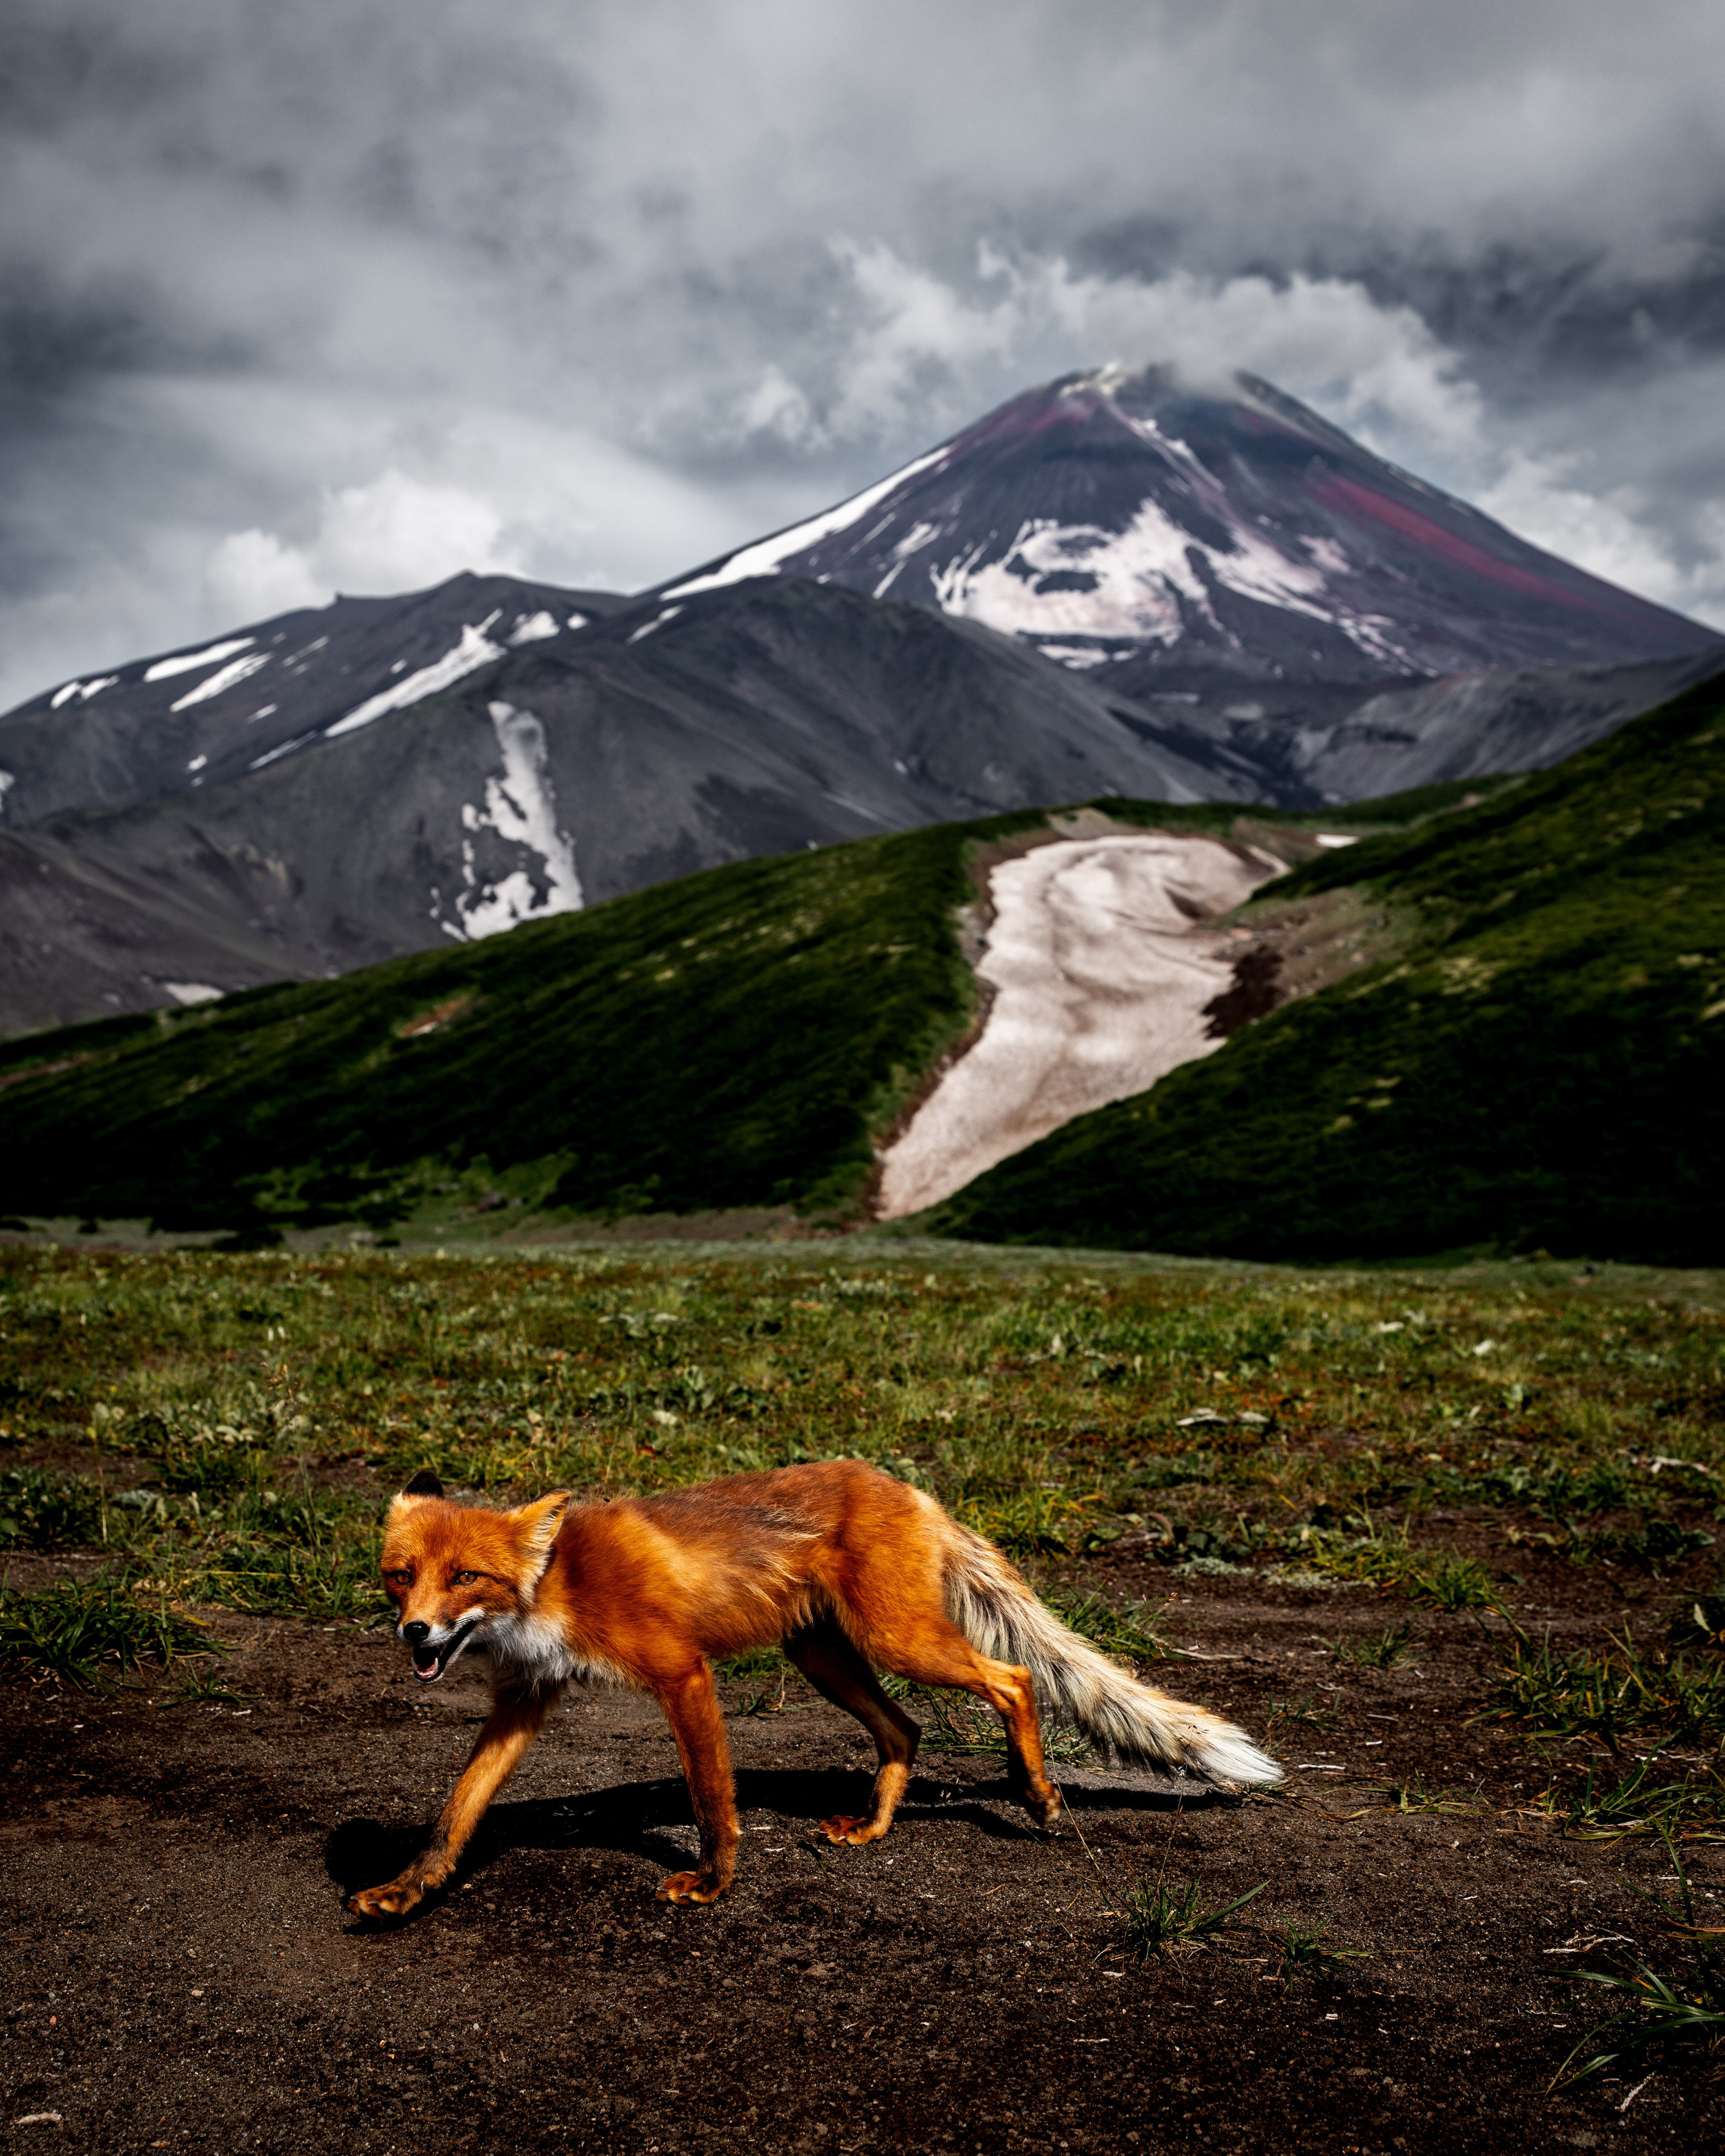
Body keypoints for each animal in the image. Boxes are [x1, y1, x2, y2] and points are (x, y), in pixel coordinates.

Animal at [348, 1457, 1280, 1918]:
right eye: (402, 1576)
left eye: (465, 1576)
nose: (415, 1632)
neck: (555, 1585)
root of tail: (906, 1485)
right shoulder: (524, 1700)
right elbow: (457, 1809)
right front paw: (408, 1889)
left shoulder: (682, 1672)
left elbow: (712, 1797)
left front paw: (712, 1883)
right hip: (823, 1656)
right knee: (905, 1729)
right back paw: (872, 1826)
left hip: (896, 1640)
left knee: (1013, 1678)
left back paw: (1039, 1794)